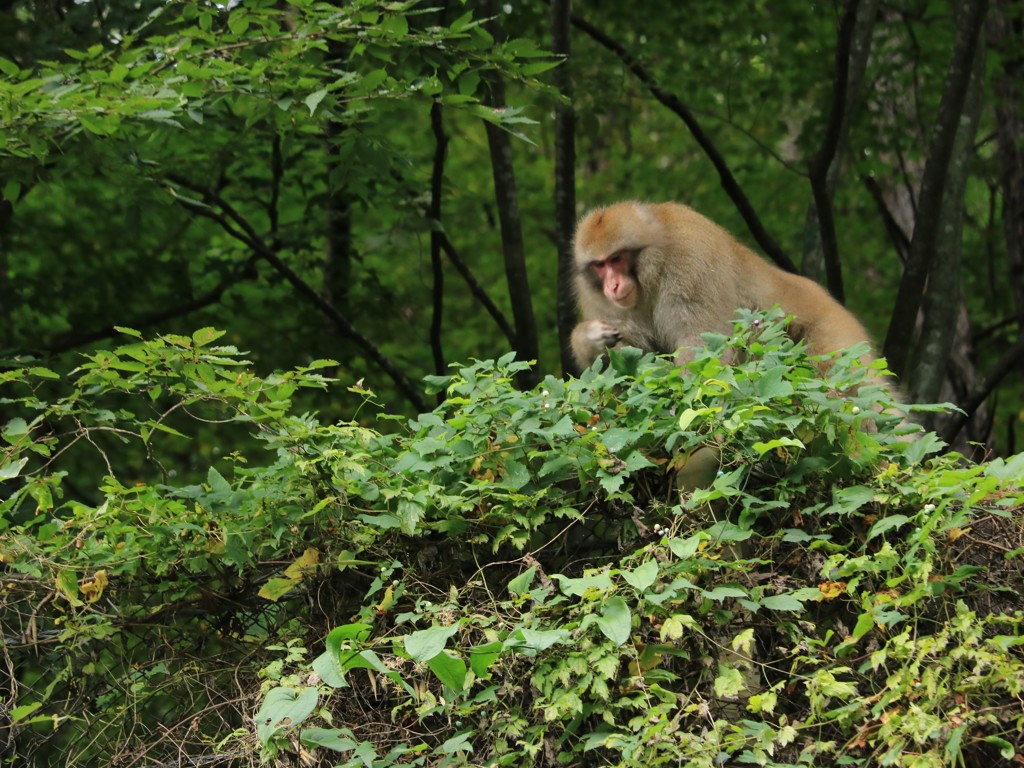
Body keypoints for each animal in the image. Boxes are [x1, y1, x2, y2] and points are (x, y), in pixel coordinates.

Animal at [573, 201, 876, 372]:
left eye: (616, 258)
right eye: (599, 265)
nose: (612, 285)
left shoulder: (691, 265)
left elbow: (703, 346)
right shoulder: (599, 302)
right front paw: (588, 339)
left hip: (836, 334)